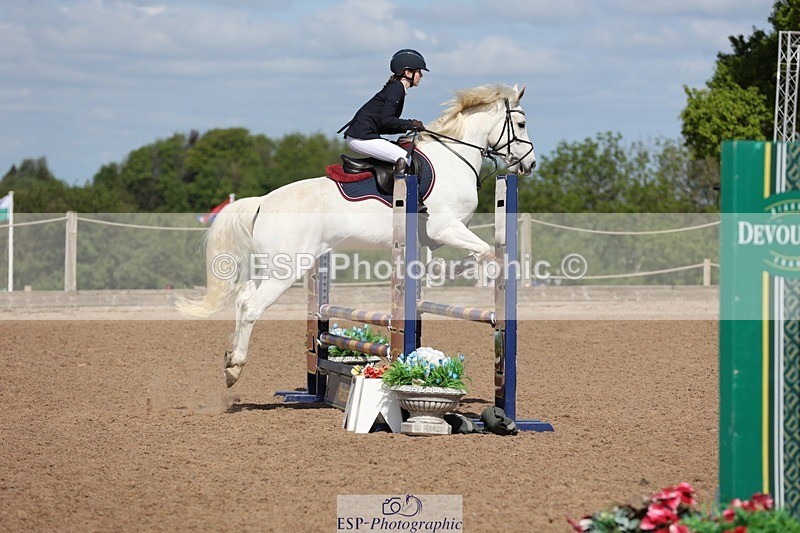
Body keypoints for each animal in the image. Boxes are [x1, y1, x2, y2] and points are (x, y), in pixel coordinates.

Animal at [176, 83, 536, 387]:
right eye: (520, 124)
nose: (529, 164)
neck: (454, 158)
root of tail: (263, 201)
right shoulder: (445, 227)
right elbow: (484, 251)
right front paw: (450, 273)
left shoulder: (438, 235)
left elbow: (471, 253)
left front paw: (434, 272)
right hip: (287, 269)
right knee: (252, 306)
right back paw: (235, 367)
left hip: (275, 265)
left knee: (242, 297)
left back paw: (229, 361)